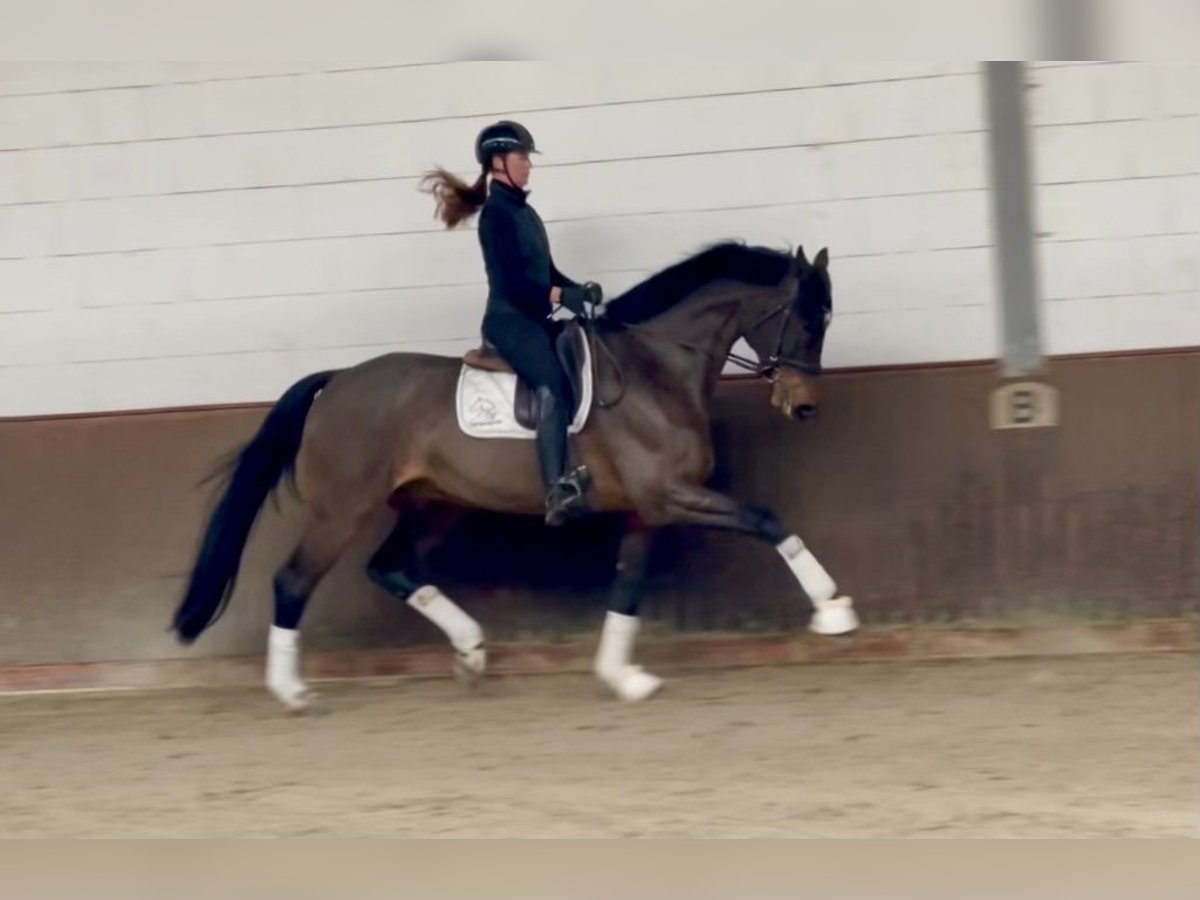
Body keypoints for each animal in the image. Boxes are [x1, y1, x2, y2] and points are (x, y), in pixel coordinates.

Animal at [174, 240, 859, 710]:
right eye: (807, 320)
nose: (804, 407)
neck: (655, 369)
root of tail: (335, 381)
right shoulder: (670, 495)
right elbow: (765, 519)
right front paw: (833, 611)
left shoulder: (647, 510)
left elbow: (627, 587)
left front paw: (623, 677)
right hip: (343, 508)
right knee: (293, 580)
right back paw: (292, 692)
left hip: (434, 501)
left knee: (391, 567)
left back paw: (472, 650)